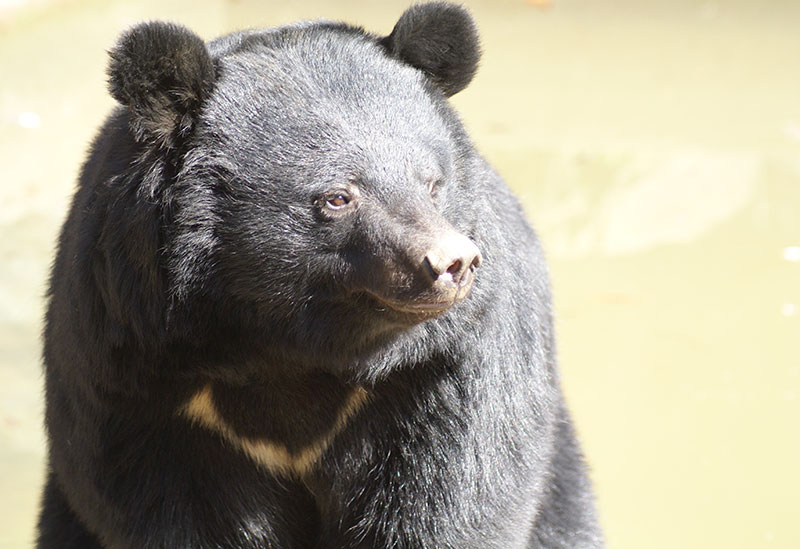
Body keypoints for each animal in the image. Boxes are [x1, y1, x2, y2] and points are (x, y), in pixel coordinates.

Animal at [36, 4, 600, 548]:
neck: (287, 343)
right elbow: (174, 509)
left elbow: (455, 495)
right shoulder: (136, 367)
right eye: (338, 197)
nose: (451, 262)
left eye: (433, 183)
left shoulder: (445, 365)